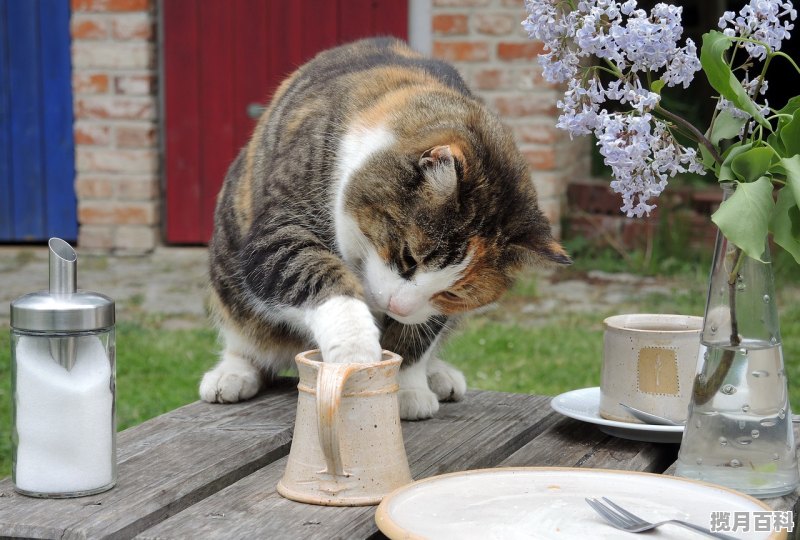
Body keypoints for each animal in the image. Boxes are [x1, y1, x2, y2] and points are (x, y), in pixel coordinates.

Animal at [203, 37, 572, 422]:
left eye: (453, 294)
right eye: (408, 257)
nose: (400, 306)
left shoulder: (432, 314)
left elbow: (418, 336)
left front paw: (406, 387)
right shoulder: (278, 228)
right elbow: (312, 271)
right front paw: (356, 352)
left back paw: (438, 374)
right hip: (227, 257)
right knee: (243, 334)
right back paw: (231, 374)